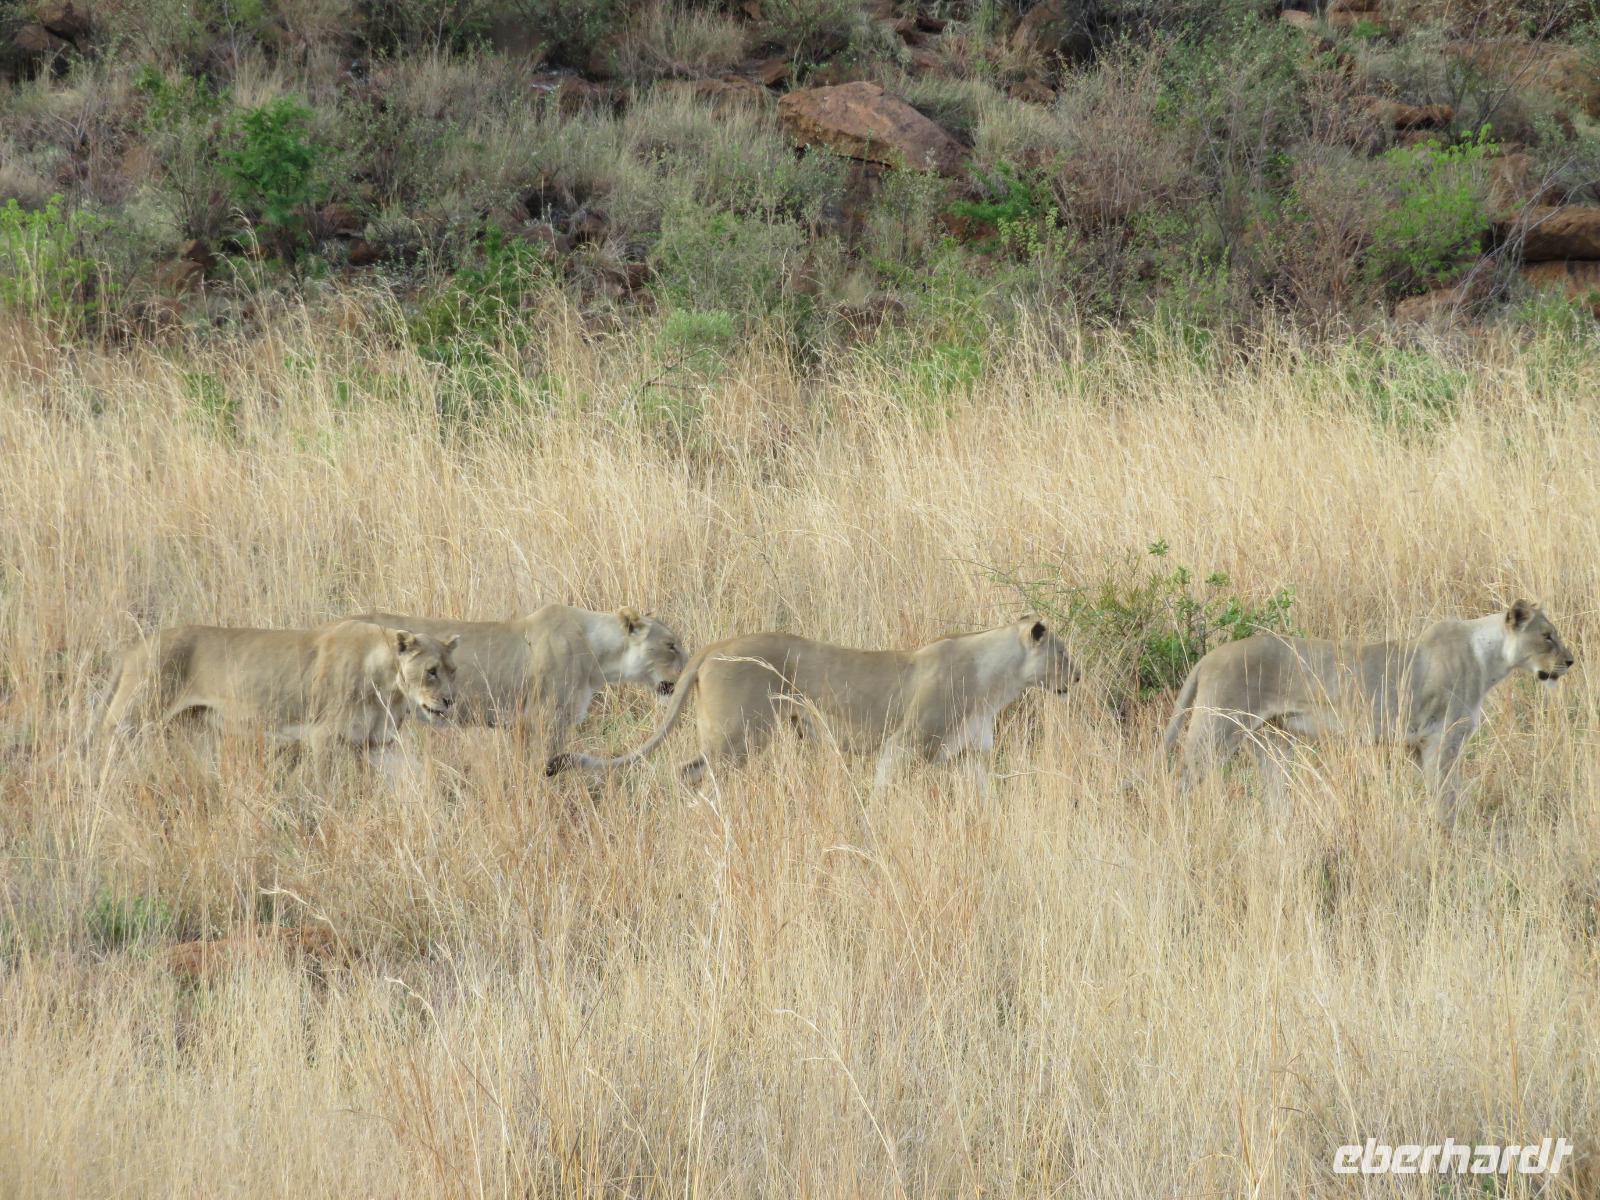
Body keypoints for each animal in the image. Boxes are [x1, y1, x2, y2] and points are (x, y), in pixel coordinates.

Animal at [99, 620, 458, 754]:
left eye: (453, 672)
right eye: (431, 671)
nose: (449, 702)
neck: (390, 689)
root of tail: (136, 647)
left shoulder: (378, 745)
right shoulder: (322, 737)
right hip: (129, 722)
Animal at [546, 617, 1078, 793]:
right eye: (1063, 652)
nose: (1077, 676)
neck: (997, 680)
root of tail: (716, 646)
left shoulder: (972, 756)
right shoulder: (902, 746)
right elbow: (884, 795)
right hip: (737, 736)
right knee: (690, 772)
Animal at [1161, 599, 1575, 824]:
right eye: (1547, 635)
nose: (1570, 661)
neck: (1490, 659)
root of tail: (1207, 657)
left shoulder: (1417, 744)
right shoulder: (1442, 738)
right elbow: (1446, 796)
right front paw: (1448, 836)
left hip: (1273, 743)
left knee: (1275, 797)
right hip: (1216, 732)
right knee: (1180, 780)